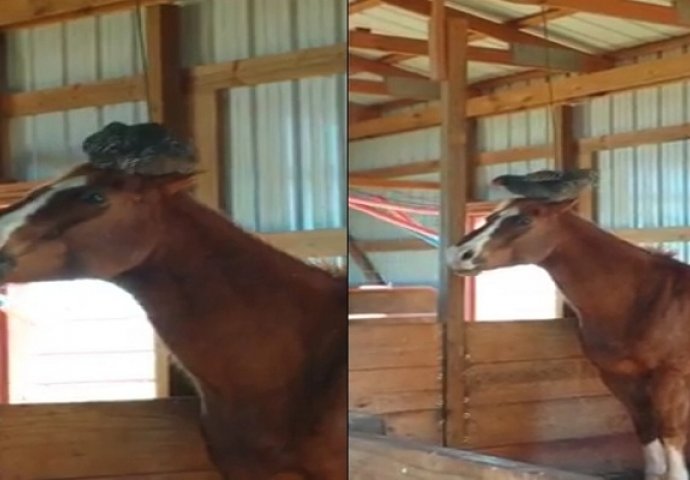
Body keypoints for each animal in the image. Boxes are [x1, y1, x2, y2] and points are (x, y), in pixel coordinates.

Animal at [446, 196, 688, 480]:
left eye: (524, 220)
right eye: (490, 218)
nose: (457, 254)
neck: (643, 297)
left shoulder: (670, 375)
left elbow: (670, 430)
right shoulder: (619, 376)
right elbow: (646, 426)